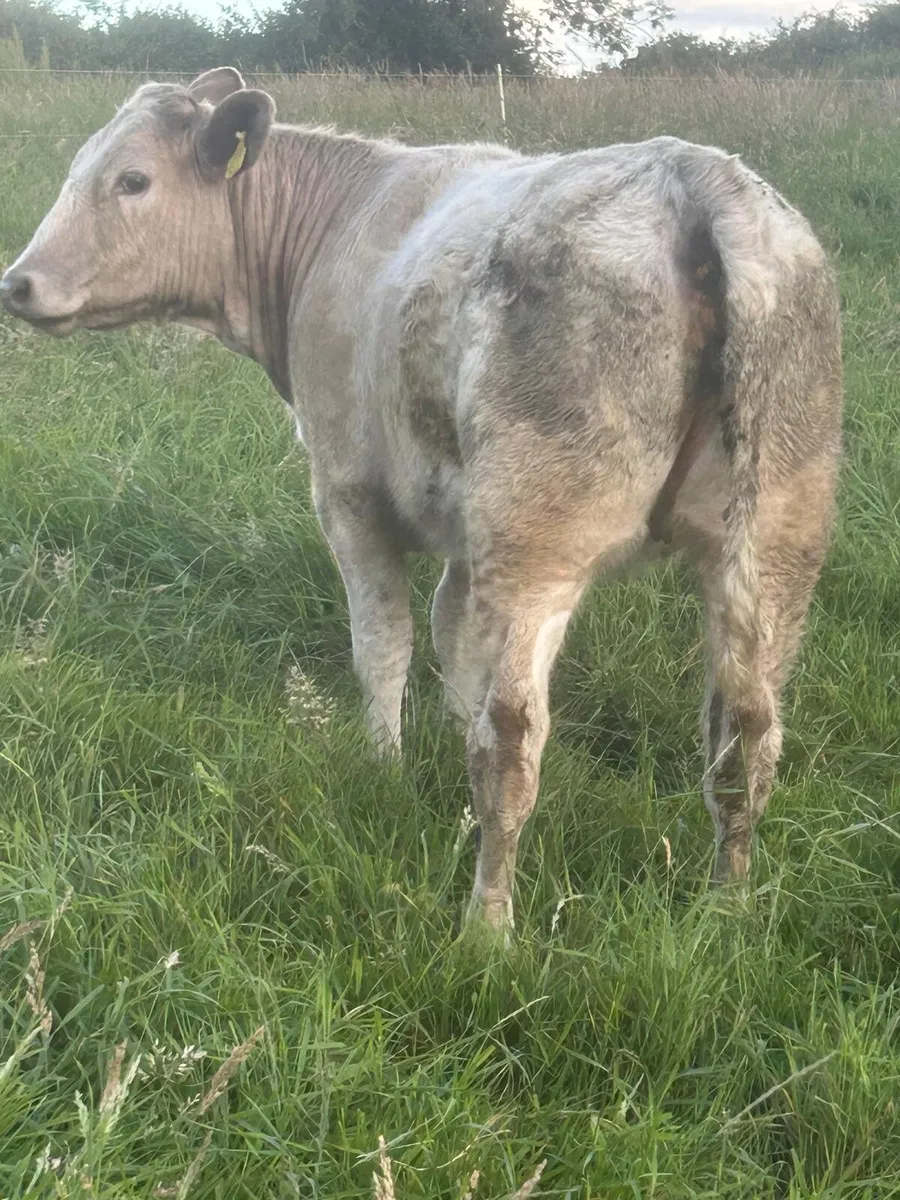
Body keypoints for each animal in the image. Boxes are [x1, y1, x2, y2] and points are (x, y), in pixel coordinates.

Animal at [0, 68, 843, 932]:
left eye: (131, 180)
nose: (17, 283)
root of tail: (697, 175)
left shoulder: (350, 494)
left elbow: (384, 643)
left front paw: (383, 764)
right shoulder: (469, 532)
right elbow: (452, 631)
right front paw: (440, 737)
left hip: (539, 529)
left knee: (514, 738)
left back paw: (488, 925)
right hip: (774, 531)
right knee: (747, 731)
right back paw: (728, 908)